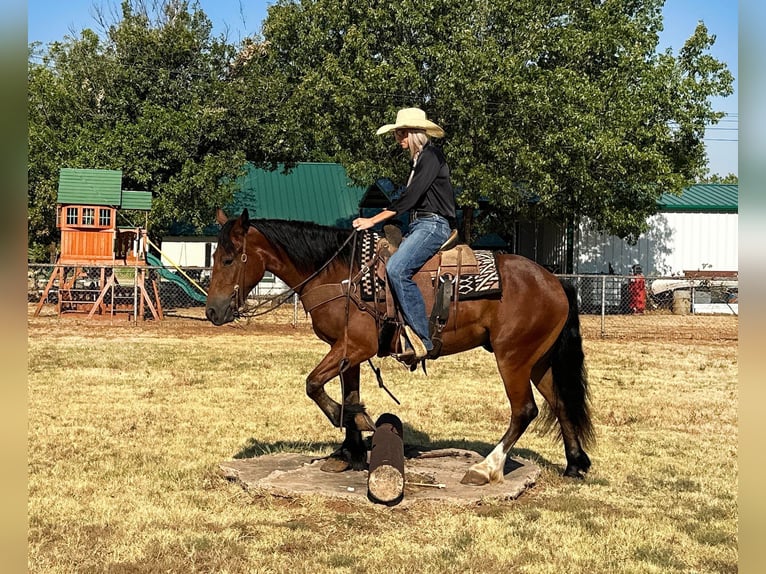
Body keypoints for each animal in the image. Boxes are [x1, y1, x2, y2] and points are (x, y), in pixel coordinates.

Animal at [204, 210, 592, 486]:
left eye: (228, 259)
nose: (212, 312)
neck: (341, 276)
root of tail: (555, 282)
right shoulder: (348, 353)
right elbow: (348, 393)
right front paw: (348, 451)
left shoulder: (355, 346)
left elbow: (313, 384)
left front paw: (352, 422)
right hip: (538, 361)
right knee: (559, 403)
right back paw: (575, 464)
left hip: (512, 358)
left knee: (524, 410)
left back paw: (486, 468)